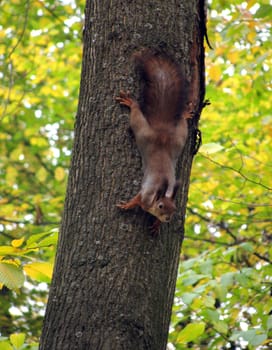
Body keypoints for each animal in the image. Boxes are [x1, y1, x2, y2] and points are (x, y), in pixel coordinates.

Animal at [116, 48, 190, 232]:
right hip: (143, 132)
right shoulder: (145, 194)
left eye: (175, 208)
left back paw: (185, 115)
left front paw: (157, 225)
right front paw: (127, 205)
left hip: (178, 140)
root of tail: (161, 132)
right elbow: (137, 199)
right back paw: (131, 102)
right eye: (161, 206)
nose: (168, 219)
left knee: (182, 125)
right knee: (136, 115)